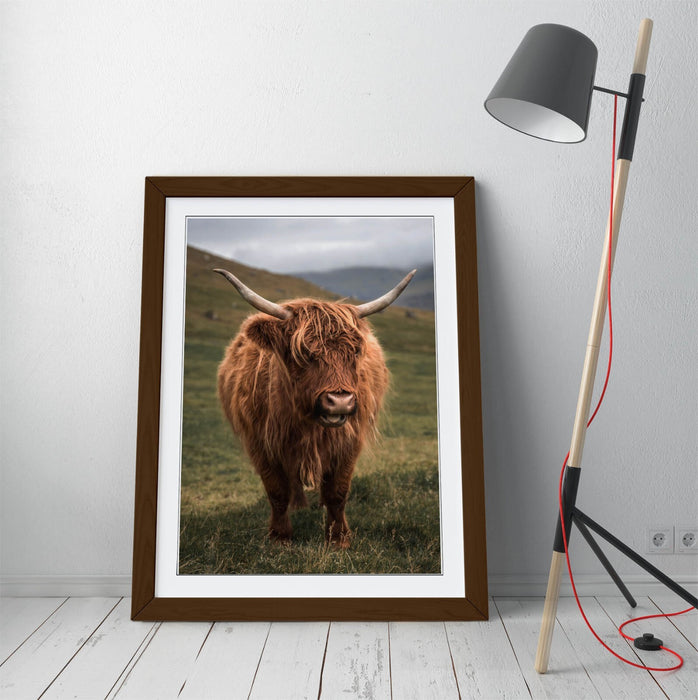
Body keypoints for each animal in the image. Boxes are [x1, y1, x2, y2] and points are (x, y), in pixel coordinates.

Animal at [214, 267, 415, 548]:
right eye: (303, 353)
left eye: (355, 352)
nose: (340, 401)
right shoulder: (260, 443)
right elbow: (277, 492)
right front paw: (280, 537)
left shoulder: (349, 441)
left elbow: (337, 492)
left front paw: (338, 538)